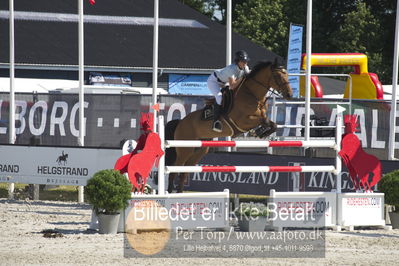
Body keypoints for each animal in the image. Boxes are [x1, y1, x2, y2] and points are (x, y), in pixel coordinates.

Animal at [166, 59, 294, 193]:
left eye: (286, 75)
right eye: (278, 76)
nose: (290, 95)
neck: (252, 95)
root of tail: (180, 122)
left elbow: (272, 124)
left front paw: (261, 132)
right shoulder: (242, 121)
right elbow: (265, 120)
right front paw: (260, 132)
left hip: (199, 150)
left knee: (184, 173)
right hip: (184, 149)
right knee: (174, 171)